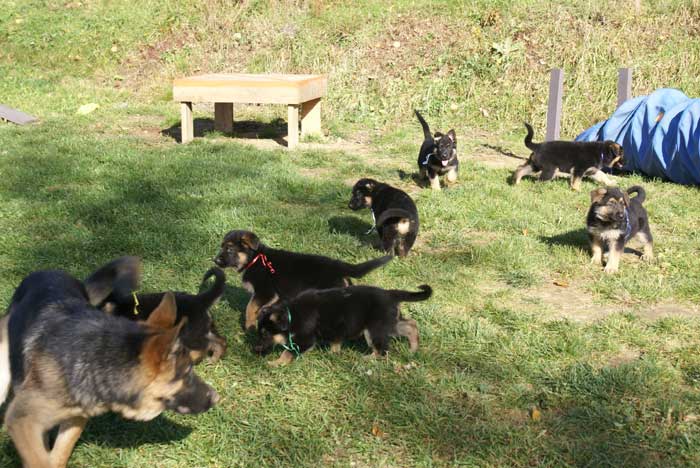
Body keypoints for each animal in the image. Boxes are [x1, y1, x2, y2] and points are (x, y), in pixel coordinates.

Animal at [0, 258, 217, 468]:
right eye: (187, 372)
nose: (217, 397)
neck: (94, 358)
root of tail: (47, 271)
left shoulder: (75, 419)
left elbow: (58, 456)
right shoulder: (22, 419)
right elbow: (40, 459)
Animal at [213, 230, 392, 330]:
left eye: (229, 249)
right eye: (221, 246)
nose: (215, 260)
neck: (254, 258)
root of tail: (340, 266)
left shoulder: (265, 292)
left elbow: (250, 308)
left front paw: (249, 326)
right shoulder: (274, 296)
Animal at [258, 286, 432, 366]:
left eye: (265, 334)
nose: (255, 351)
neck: (291, 314)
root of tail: (391, 294)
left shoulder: (305, 339)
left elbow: (287, 352)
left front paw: (275, 364)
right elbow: (336, 343)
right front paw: (333, 355)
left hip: (374, 329)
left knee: (381, 350)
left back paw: (366, 359)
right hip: (389, 323)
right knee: (411, 325)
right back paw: (413, 349)